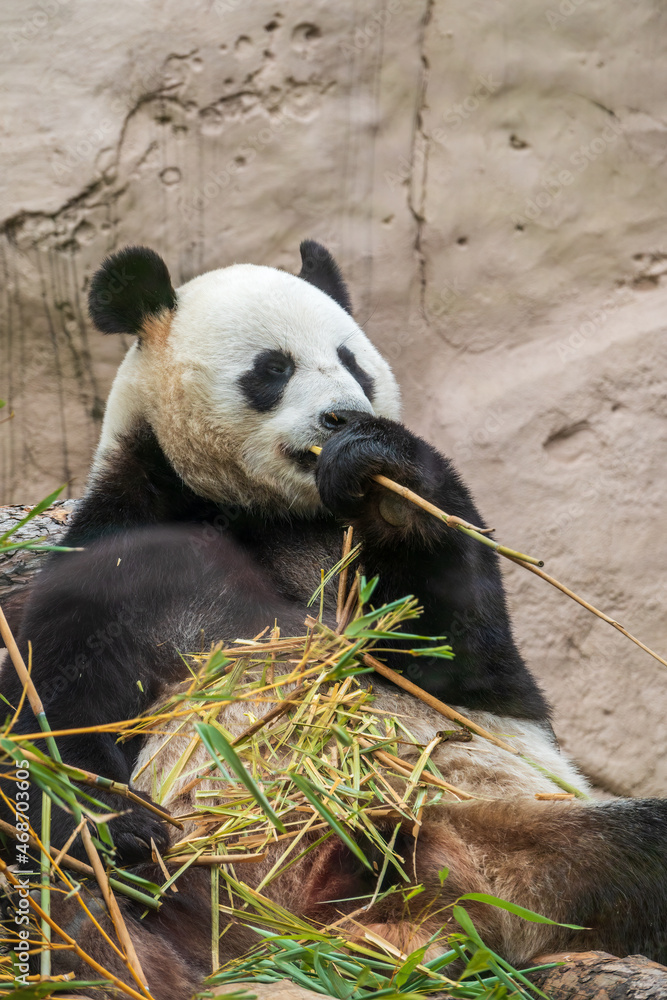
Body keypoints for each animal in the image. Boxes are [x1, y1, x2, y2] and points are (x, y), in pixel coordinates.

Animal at [2, 242, 667, 998]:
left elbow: (461, 659)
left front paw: (383, 478)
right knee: (69, 909)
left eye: (353, 361)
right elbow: (56, 702)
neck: (265, 512)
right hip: (192, 897)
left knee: (635, 852)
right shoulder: (124, 544)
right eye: (272, 368)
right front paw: (123, 825)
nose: (343, 417)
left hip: (509, 827)